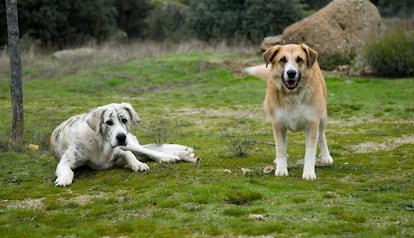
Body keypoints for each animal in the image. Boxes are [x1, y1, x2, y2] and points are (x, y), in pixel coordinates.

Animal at [50, 102, 199, 186]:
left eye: (124, 120)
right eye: (109, 122)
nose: (121, 136)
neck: (101, 145)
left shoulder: (119, 153)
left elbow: (129, 155)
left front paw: (138, 165)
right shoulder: (65, 162)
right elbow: (67, 170)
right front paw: (63, 179)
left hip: (130, 144)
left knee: (151, 152)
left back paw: (176, 156)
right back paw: (184, 154)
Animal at [246, 43, 334, 179]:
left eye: (299, 60)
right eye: (282, 60)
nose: (291, 73)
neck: (293, 95)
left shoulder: (312, 123)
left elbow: (310, 151)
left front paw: (309, 172)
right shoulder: (278, 124)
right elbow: (280, 148)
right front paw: (281, 169)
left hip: (323, 116)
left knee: (322, 135)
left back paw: (326, 156)